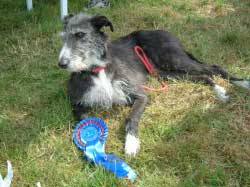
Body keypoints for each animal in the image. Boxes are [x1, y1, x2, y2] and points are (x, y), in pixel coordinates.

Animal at [59, 12, 250, 156]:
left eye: (80, 34)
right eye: (63, 37)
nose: (61, 64)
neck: (97, 70)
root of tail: (164, 32)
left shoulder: (140, 95)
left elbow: (131, 117)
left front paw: (131, 143)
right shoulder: (75, 104)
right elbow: (85, 119)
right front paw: (95, 147)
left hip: (173, 59)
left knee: (213, 68)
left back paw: (238, 84)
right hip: (164, 73)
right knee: (202, 76)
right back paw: (219, 89)